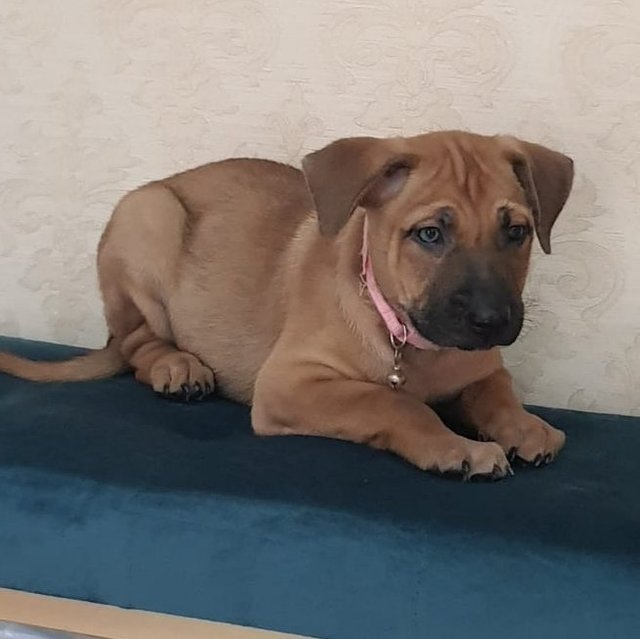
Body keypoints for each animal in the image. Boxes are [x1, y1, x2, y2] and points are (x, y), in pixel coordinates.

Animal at [0, 130, 576, 480]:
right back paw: (177, 366)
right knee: (137, 344)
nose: (491, 321)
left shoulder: (483, 369)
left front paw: (525, 425)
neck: (409, 340)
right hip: (149, 214)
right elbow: (391, 402)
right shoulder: (290, 383)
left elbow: (496, 393)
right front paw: (456, 447)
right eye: (430, 234)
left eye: (517, 232)